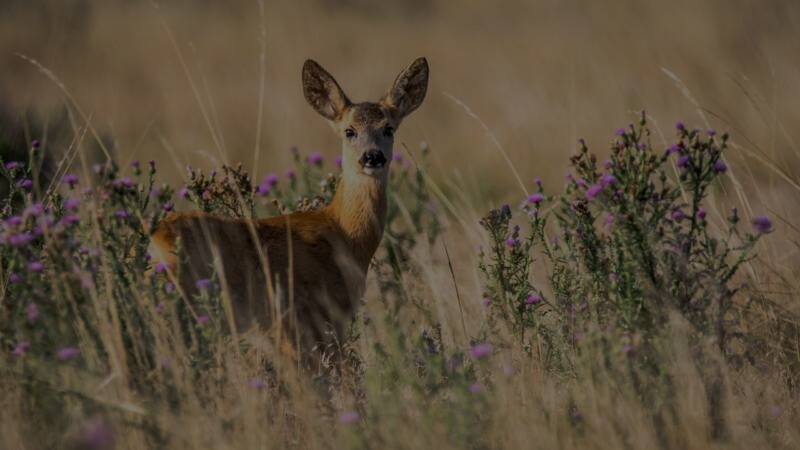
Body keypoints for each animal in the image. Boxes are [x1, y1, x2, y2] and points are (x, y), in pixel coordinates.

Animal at [147, 57, 428, 366]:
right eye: (349, 131)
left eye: (389, 129)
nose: (373, 156)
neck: (344, 234)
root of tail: (157, 242)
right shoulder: (312, 318)